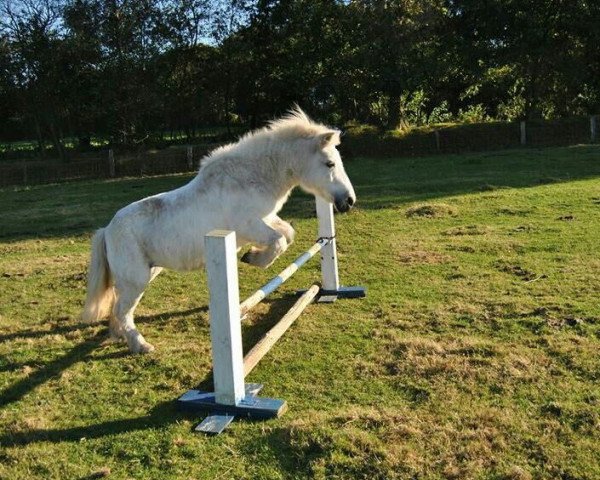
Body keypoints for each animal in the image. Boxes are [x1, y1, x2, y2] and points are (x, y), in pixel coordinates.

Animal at [83, 109, 356, 356]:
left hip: (147, 273)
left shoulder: (266, 220)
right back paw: (141, 346)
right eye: (330, 163)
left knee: (118, 309)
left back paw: (120, 337)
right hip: (136, 280)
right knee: (122, 311)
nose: (349, 201)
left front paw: (253, 256)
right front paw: (253, 258)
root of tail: (107, 230)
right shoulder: (248, 226)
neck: (251, 178)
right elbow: (279, 241)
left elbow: (287, 234)